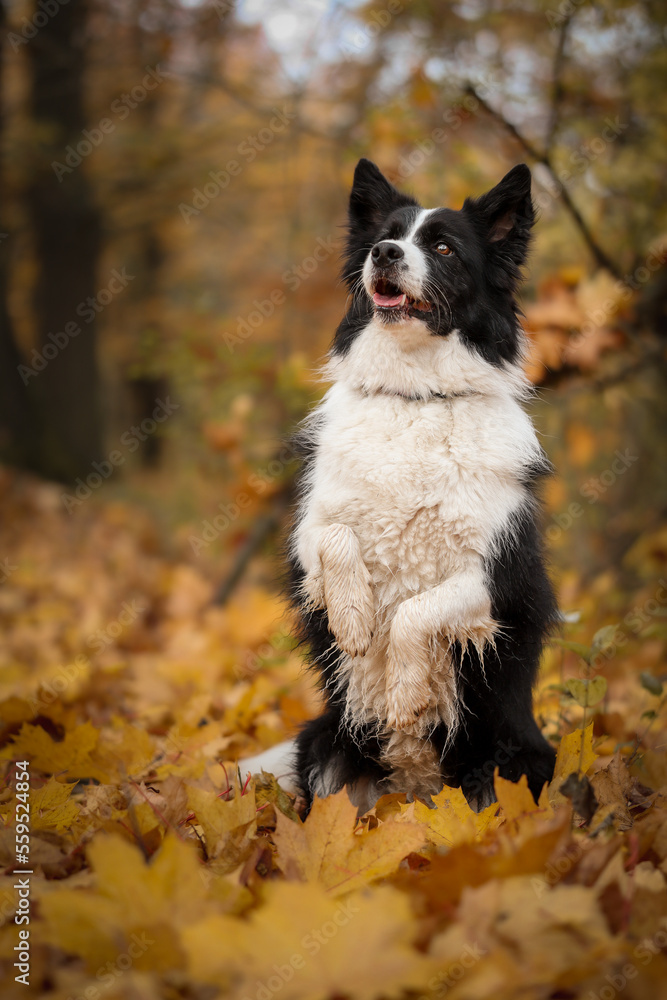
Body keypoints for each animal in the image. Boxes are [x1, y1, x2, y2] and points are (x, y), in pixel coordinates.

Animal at [240, 156, 560, 812]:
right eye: (385, 236)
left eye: (442, 247)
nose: (384, 253)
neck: (417, 395)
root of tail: (415, 793)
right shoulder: (306, 539)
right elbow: (336, 540)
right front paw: (354, 619)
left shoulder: (497, 577)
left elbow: (418, 608)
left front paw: (407, 692)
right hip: (326, 746)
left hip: (509, 762)